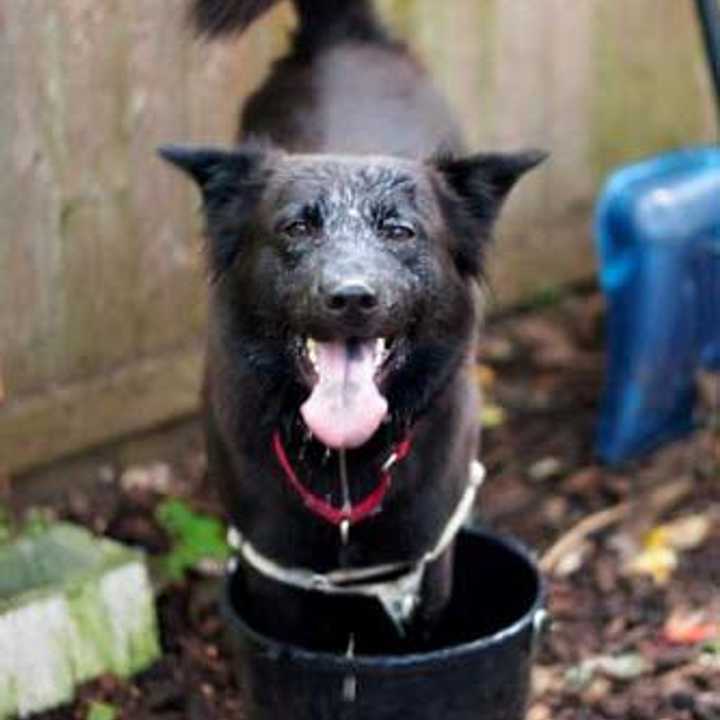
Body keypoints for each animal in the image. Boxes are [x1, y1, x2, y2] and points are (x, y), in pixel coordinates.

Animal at [162, 0, 544, 652]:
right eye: (296, 227)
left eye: (400, 231)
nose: (351, 298)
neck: (343, 467)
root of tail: (340, 32)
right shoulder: (277, 571)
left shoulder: (423, 562)